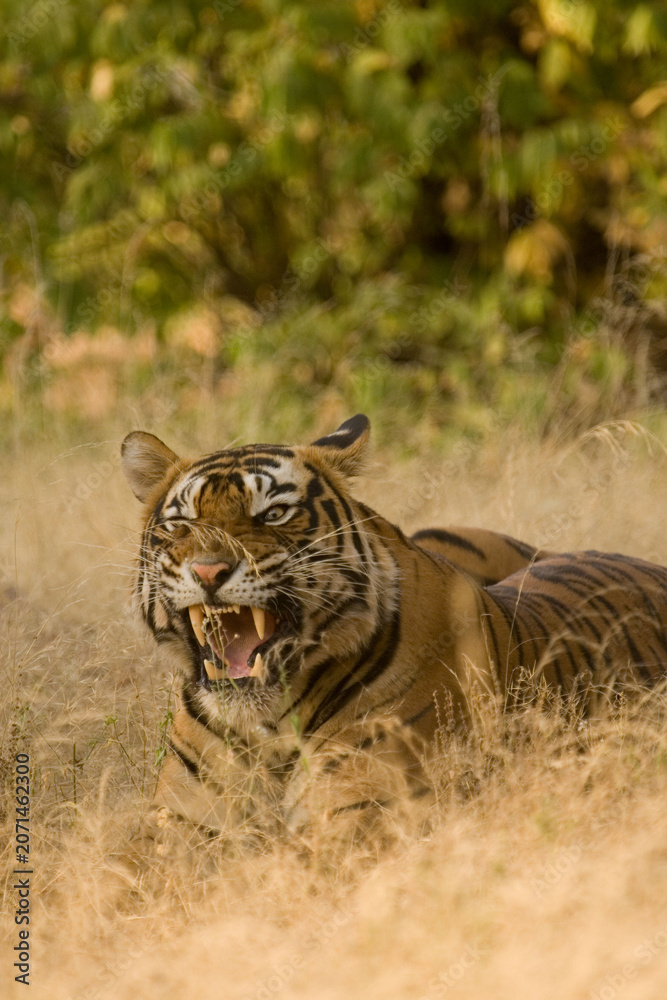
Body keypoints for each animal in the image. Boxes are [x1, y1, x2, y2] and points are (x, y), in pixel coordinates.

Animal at [120, 414, 667, 852]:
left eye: (274, 513)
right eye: (181, 524)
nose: (209, 571)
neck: (266, 729)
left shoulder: (360, 821)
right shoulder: (177, 825)